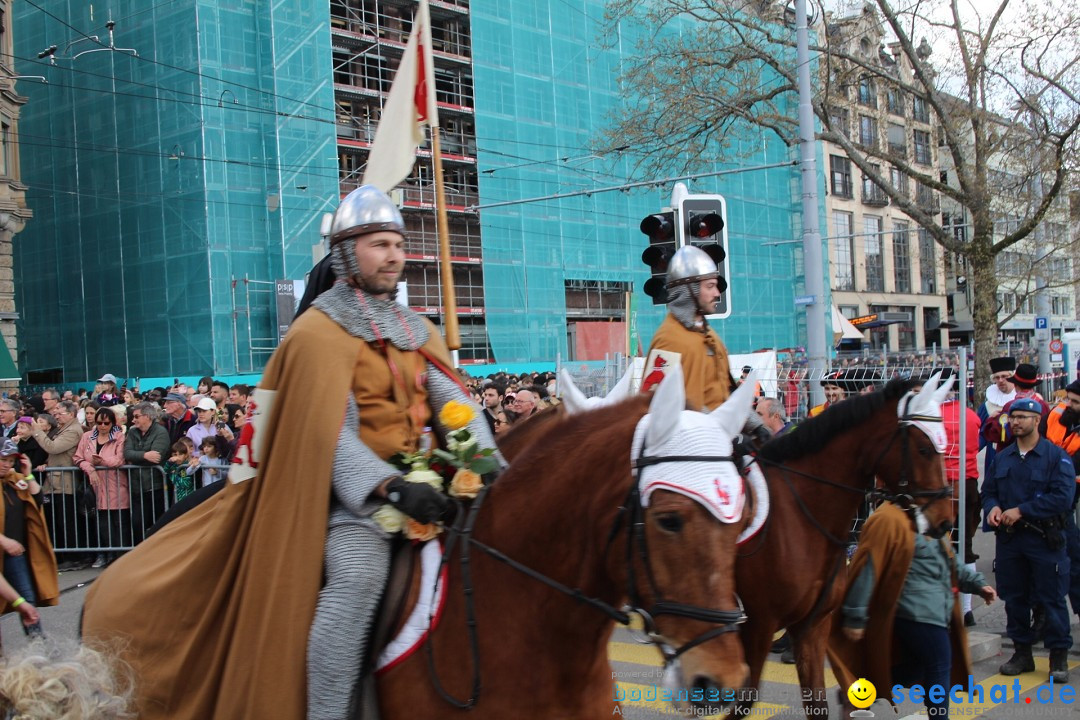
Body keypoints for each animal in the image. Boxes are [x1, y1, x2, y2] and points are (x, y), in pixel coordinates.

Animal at [734, 375, 954, 716]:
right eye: (923, 449)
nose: (944, 520)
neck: (798, 515)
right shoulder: (757, 626)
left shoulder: (812, 628)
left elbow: (817, 701)